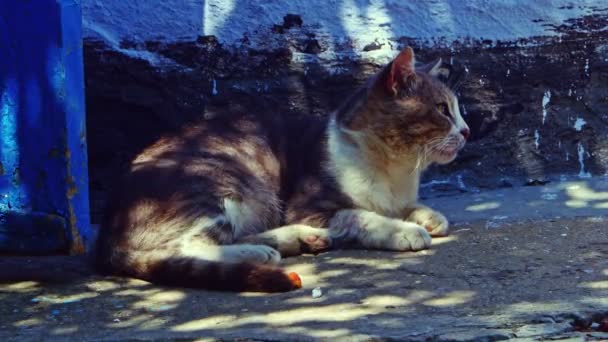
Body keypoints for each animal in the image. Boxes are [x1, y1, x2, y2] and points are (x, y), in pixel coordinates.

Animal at [95, 46, 470, 292]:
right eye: (442, 110)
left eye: (457, 110)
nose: (467, 131)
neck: (397, 169)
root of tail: (108, 231)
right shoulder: (310, 205)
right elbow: (359, 216)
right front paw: (404, 230)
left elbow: (410, 206)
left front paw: (429, 216)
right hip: (219, 180)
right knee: (186, 245)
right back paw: (261, 252)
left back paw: (297, 239)